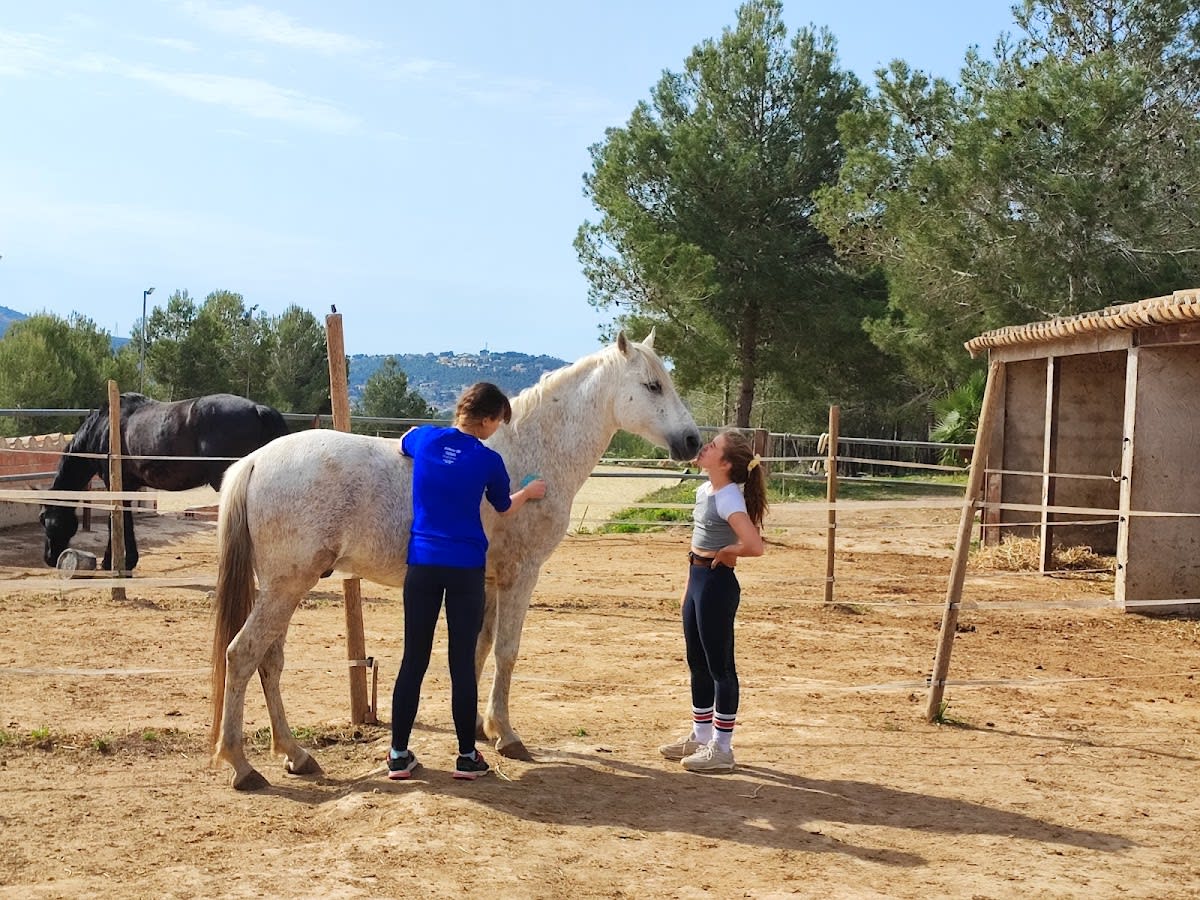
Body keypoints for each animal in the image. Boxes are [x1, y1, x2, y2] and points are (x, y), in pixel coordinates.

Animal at [40, 392, 290, 571]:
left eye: (45, 520)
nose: (50, 558)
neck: (104, 428)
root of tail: (258, 410)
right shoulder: (130, 486)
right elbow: (124, 520)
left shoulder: (115, 485)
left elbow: (117, 521)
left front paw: (113, 562)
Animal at [210, 330, 701, 790]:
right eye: (653, 385)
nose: (693, 440)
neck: (530, 451)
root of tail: (254, 462)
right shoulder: (520, 575)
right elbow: (506, 651)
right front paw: (507, 735)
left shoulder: (486, 581)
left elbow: (478, 649)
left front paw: (480, 729)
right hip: (286, 587)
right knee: (243, 654)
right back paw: (242, 765)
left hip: (282, 588)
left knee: (269, 662)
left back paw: (294, 754)